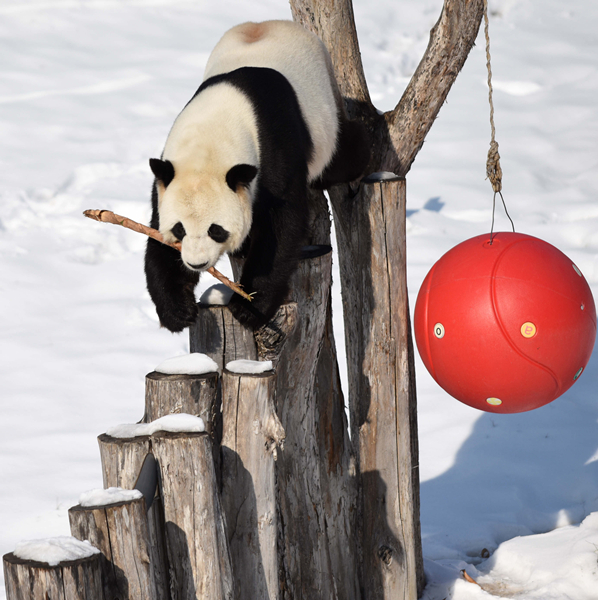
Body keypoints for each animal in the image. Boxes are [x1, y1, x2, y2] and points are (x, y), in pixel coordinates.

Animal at [145, 19, 370, 332]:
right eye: (179, 229)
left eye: (216, 229)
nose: (197, 263)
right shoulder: (168, 177)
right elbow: (156, 235)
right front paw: (178, 310)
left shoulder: (274, 149)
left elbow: (281, 225)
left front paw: (249, 307)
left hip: (323, 119)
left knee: (342, 155)